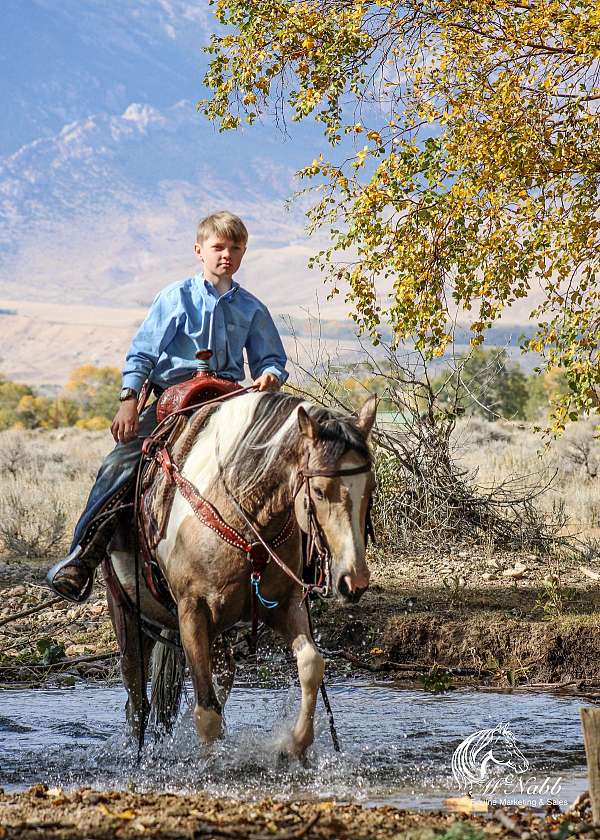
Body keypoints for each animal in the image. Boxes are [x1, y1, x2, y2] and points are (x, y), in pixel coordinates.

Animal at [105, 390, 372, 756]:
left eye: (369, 489)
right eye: (318, 491)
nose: (353, 580)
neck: (245, 514)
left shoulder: (285, 603)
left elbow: (311, 665)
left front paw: (294, 746)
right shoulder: (192, 613)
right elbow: (206, 712)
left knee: (221, 677)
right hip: (127, 616)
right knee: (136, 697)